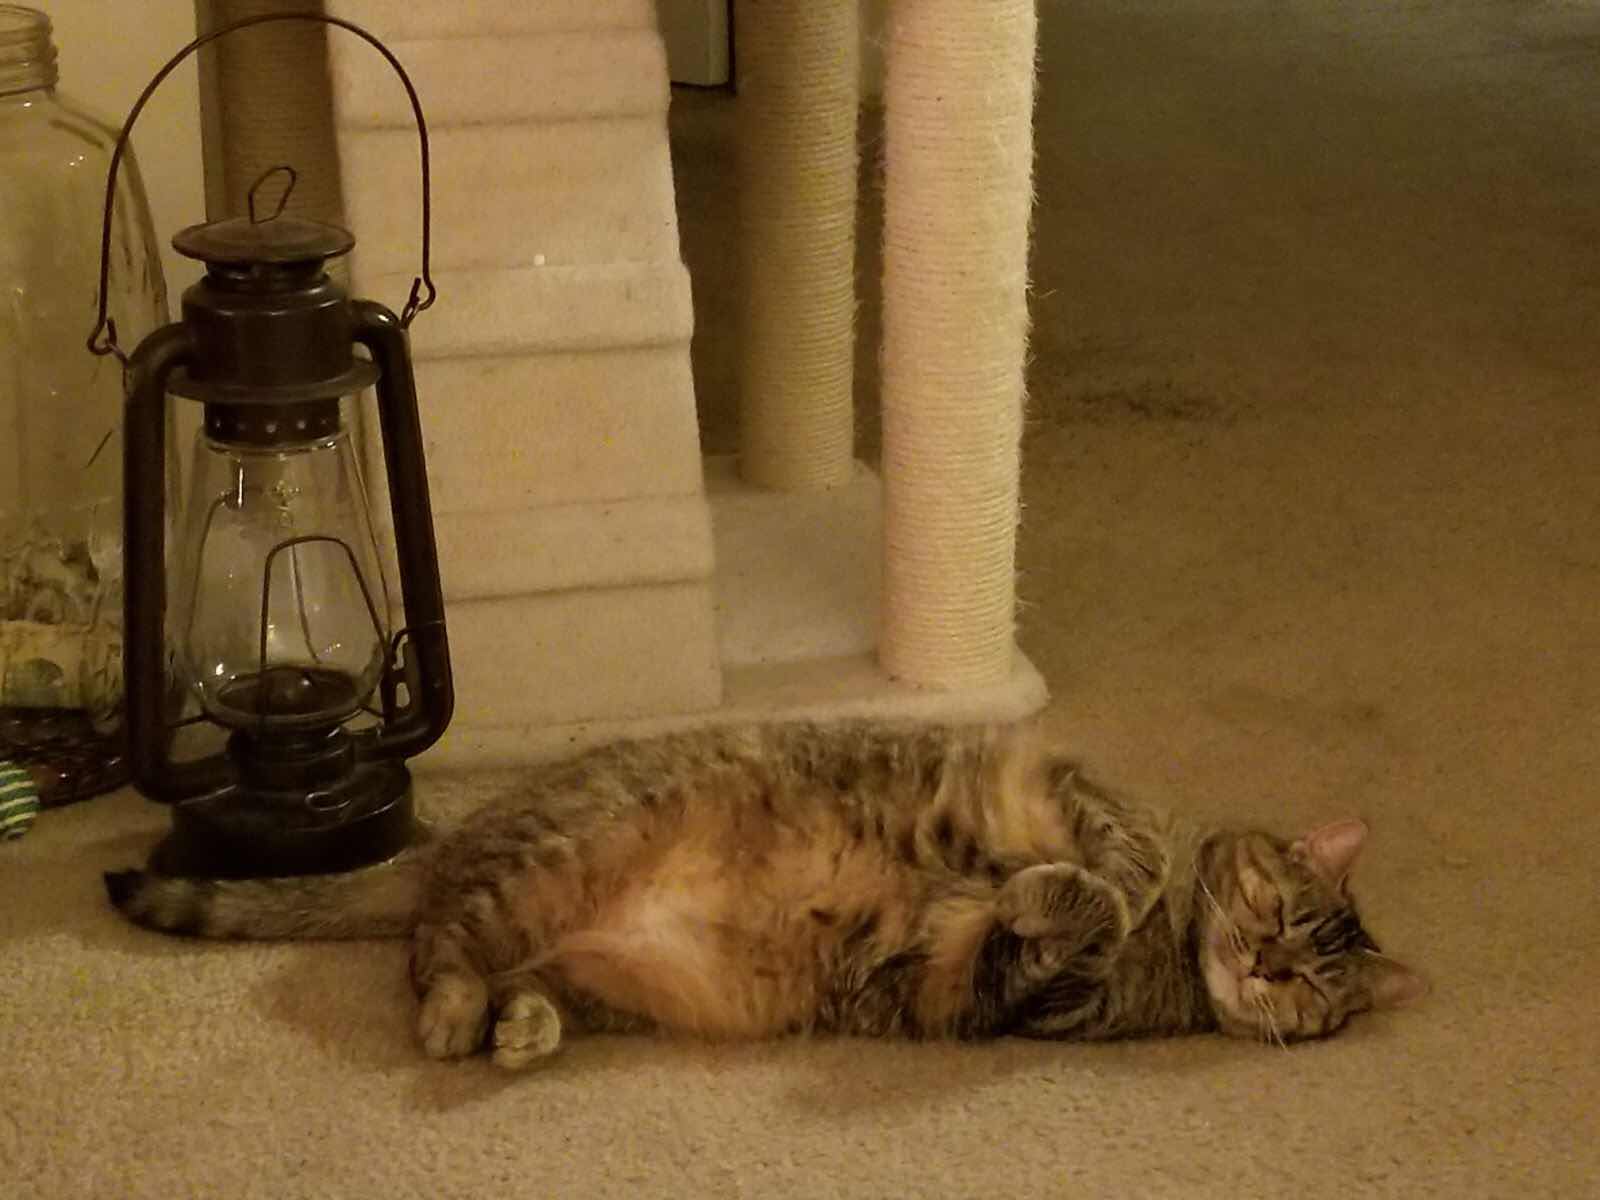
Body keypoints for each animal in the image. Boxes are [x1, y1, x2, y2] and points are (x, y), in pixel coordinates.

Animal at [104, 722, 1425, 1067]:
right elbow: (1107, 872)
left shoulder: (1025, 1004)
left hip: (589, 970)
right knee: (433, 953)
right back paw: (453, 1018)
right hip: (541, 869)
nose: (1265, 969)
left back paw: (517, 1031)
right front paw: (1089, 886)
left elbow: (1055, 932)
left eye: (1312, 982)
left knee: (491, 975)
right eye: (1281, 921)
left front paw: (1047, 904)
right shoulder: (1078, 797)